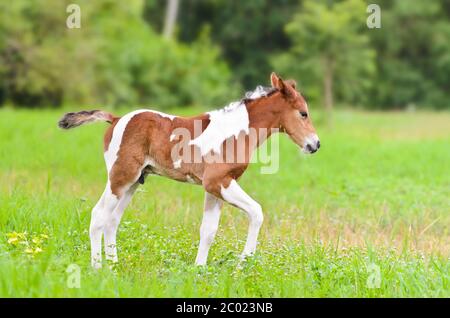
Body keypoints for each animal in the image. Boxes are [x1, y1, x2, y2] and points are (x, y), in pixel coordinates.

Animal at [59, 72, 320, 268]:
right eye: (303, 113)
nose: (315, 144)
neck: (236, 132)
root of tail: (116, 119)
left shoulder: (215, 188)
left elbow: (208, 230)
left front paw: (200, 270)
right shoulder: (217, 182)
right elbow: (256, 212)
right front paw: (243, 264)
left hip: (134, 182)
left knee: (112, 220)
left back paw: (114, 266)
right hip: (120, 177)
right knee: (98, 216)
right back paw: (98, 268)